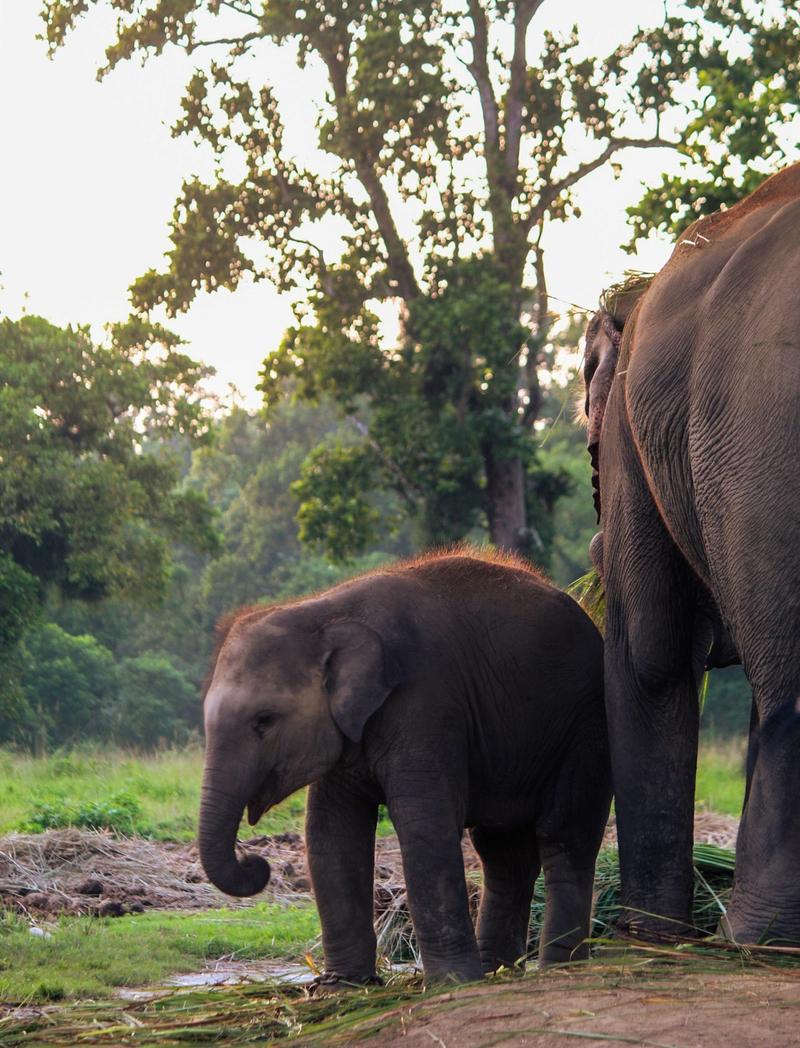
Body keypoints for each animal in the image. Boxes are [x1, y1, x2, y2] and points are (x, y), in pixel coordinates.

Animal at [199, 550, 610, 983]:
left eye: (264, 720)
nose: (256, 863)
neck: (322, 612)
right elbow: (331, 832)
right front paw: (341, 987)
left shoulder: (427, 703)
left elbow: (425, 825)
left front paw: (451, 982)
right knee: (503, 852)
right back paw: (496, 971)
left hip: (585, 728)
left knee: (564, 836)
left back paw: (557, 968)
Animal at [583, 162, 800, 945]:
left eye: (588, 448)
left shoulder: (629, 427)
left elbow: (650, 650)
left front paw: (645, 932)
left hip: (760, 428)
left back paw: (753, 937)